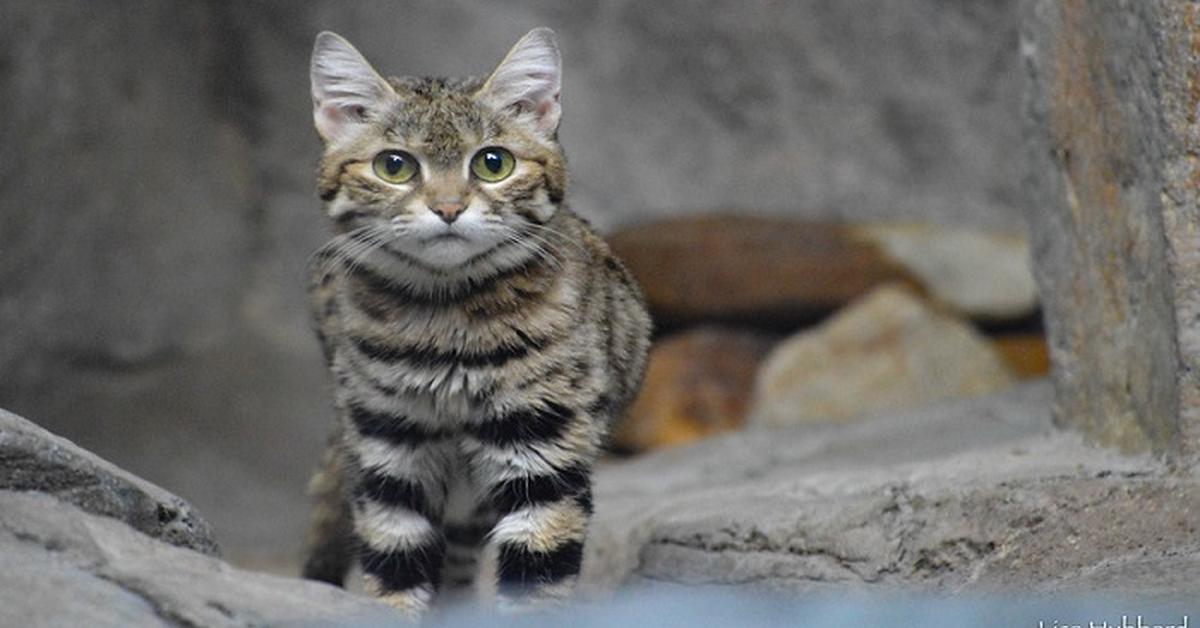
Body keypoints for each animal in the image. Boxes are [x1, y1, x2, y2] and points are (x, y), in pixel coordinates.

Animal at [302, 27, 657, 614]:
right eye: (394, 166)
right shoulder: (389, 446)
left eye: (494, 163)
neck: (445, 318)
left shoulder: (544, 448)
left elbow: (536, 580)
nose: (448, 208)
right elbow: (394, 567)